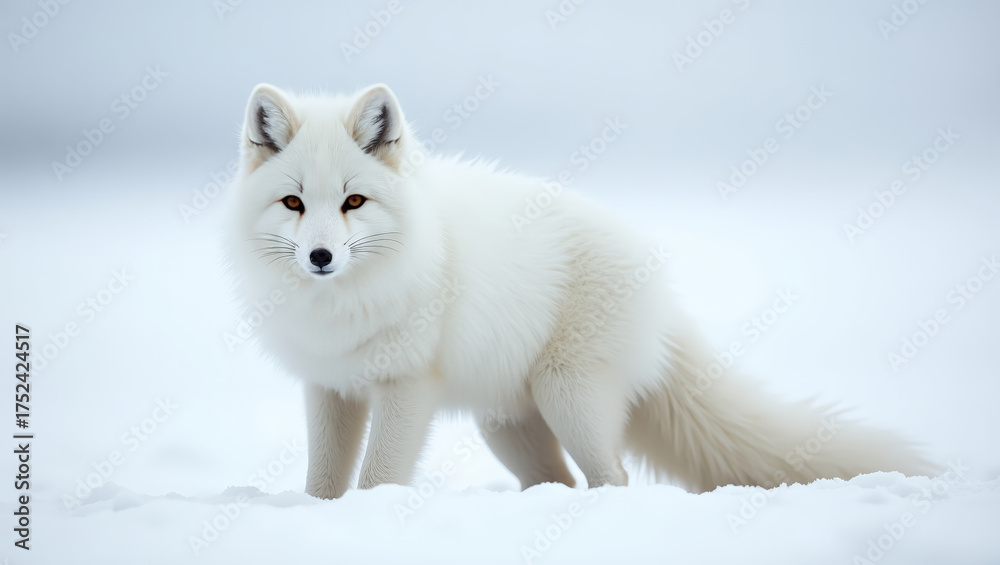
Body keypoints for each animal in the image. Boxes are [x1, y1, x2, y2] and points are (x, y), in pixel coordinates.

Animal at [225, 82, 936, 499]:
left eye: (354, 201)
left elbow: (376, 480)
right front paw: (323, 517)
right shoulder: (329, 387)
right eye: (293, 202)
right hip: (508, 424)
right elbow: (322, 480)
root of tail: (660, 284)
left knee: (612, 479)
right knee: (559, 482)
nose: (320, 257)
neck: (340, 305)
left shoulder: (407, 386)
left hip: (569, 399)